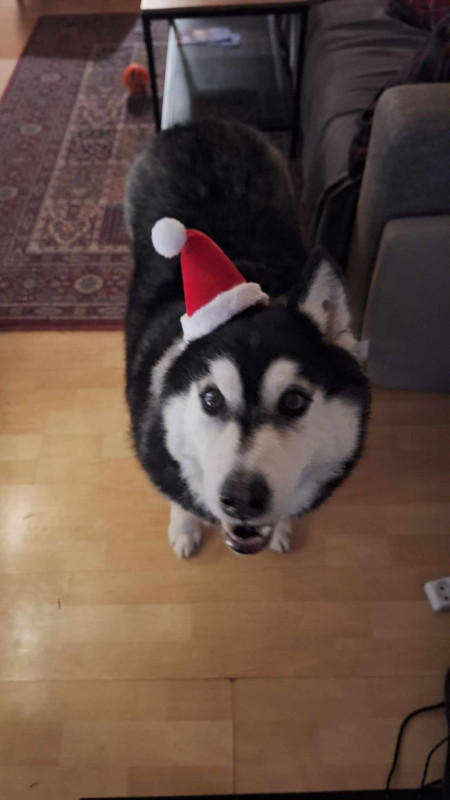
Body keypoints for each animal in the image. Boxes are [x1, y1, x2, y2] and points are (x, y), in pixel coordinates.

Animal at [124, 119, 370, 557]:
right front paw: (183, 528)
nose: (240, 499)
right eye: (211, 399)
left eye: (294, 401)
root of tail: (198, 125)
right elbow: (177, 497)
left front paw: (284, 528)